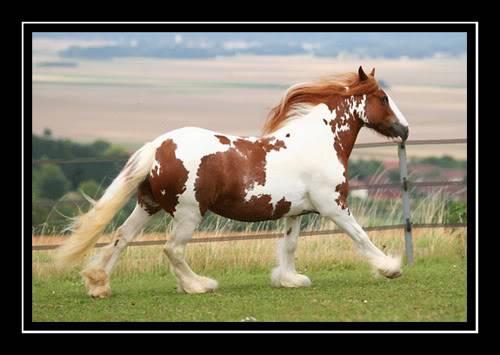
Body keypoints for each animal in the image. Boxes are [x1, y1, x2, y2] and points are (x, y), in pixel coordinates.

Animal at [55, 66, 410, 298]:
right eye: (382, 97)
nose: (405, 130)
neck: (320, 141)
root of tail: (157, 146)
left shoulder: (296, 212)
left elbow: (289, 245)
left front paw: (289, 279)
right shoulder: (333, 205)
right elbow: (360, 236)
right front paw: (391, 268)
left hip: (148, 205)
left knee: (121, 237)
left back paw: (98, 284)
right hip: (188, 212)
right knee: (173, 249)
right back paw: (198, 285)